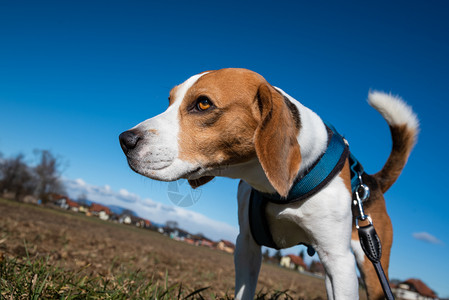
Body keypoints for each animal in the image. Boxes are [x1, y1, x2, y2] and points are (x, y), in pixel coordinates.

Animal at [118, 68, 416, 300]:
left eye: (203, 104)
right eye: (169, 100)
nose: (125, 140)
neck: (279, 189)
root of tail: (371, 181)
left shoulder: (338, 261)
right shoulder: (246, 245)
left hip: (372, 266)